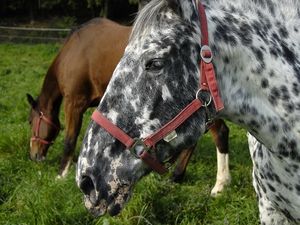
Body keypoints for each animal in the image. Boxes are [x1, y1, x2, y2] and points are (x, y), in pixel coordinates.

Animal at [27, 17, 231, 193]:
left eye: (30, 122)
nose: (34, 156)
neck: (74, 50)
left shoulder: (74, 103)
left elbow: (69, 140)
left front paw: (61, 174)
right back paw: (177, 175)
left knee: (220, 133)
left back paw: (219, 185)